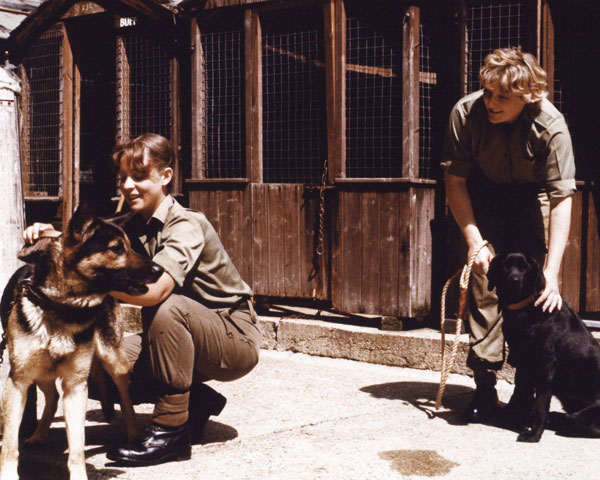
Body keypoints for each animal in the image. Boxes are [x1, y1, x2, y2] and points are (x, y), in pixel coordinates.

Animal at [0, 206, 163, 480]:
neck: (63, 307)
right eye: (116, 248)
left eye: (130, 246)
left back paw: (133, 436)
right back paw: (39, 435)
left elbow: (77, 445)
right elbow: (10, 443)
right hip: (40, 373)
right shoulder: (19, 381)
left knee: (125, 396)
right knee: (53, 396)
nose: (159, 271)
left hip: (113, 361)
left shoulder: (76, 386)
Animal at [488, 251, 600, 442]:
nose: (514, 280)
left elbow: (541, 402)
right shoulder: (523, 359)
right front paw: (515, 417)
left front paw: (534, 433)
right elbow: (522, 391)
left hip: (583, 414)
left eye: (524, 268)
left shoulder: (545, 365)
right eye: (505, 266)